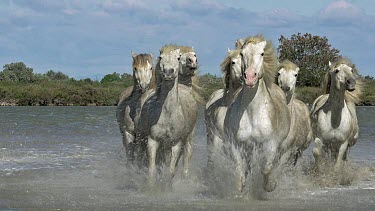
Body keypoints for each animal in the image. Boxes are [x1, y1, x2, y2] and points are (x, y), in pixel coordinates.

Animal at [136, 48, 200, 185]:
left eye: (178, 57)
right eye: (160, 57)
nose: (169, 72)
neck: (168, 113)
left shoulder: (176, 143)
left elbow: (170, 172)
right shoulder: (153, 140)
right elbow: (152, 171)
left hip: (186, 139)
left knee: (185, 156)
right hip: (143, 136)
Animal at [223, 35, 290, 193]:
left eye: (262, 53)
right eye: (242, 54)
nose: (249, 77)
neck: (251, 113)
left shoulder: (270, 144)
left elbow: (266, 168)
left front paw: (270, 185)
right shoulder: (236, 144)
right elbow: (240, 171)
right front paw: (240, 189)